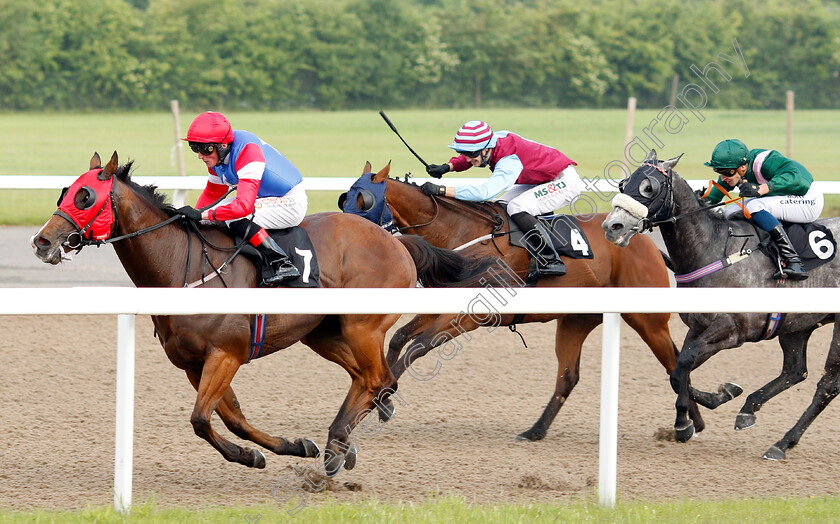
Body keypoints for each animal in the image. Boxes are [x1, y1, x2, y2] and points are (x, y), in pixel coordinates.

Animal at [600, 149, 840, 460]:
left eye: (649, 187)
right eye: (622, 183)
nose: (612, 227)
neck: (712, 248)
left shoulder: (731, 330)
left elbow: (684, 364)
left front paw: (684, 423)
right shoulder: (698, 326)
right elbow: (678, 371)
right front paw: (722, 396)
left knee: (827, 383)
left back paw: (783, 443)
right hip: (796, 324)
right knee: (795, 371)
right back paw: (749, 410)